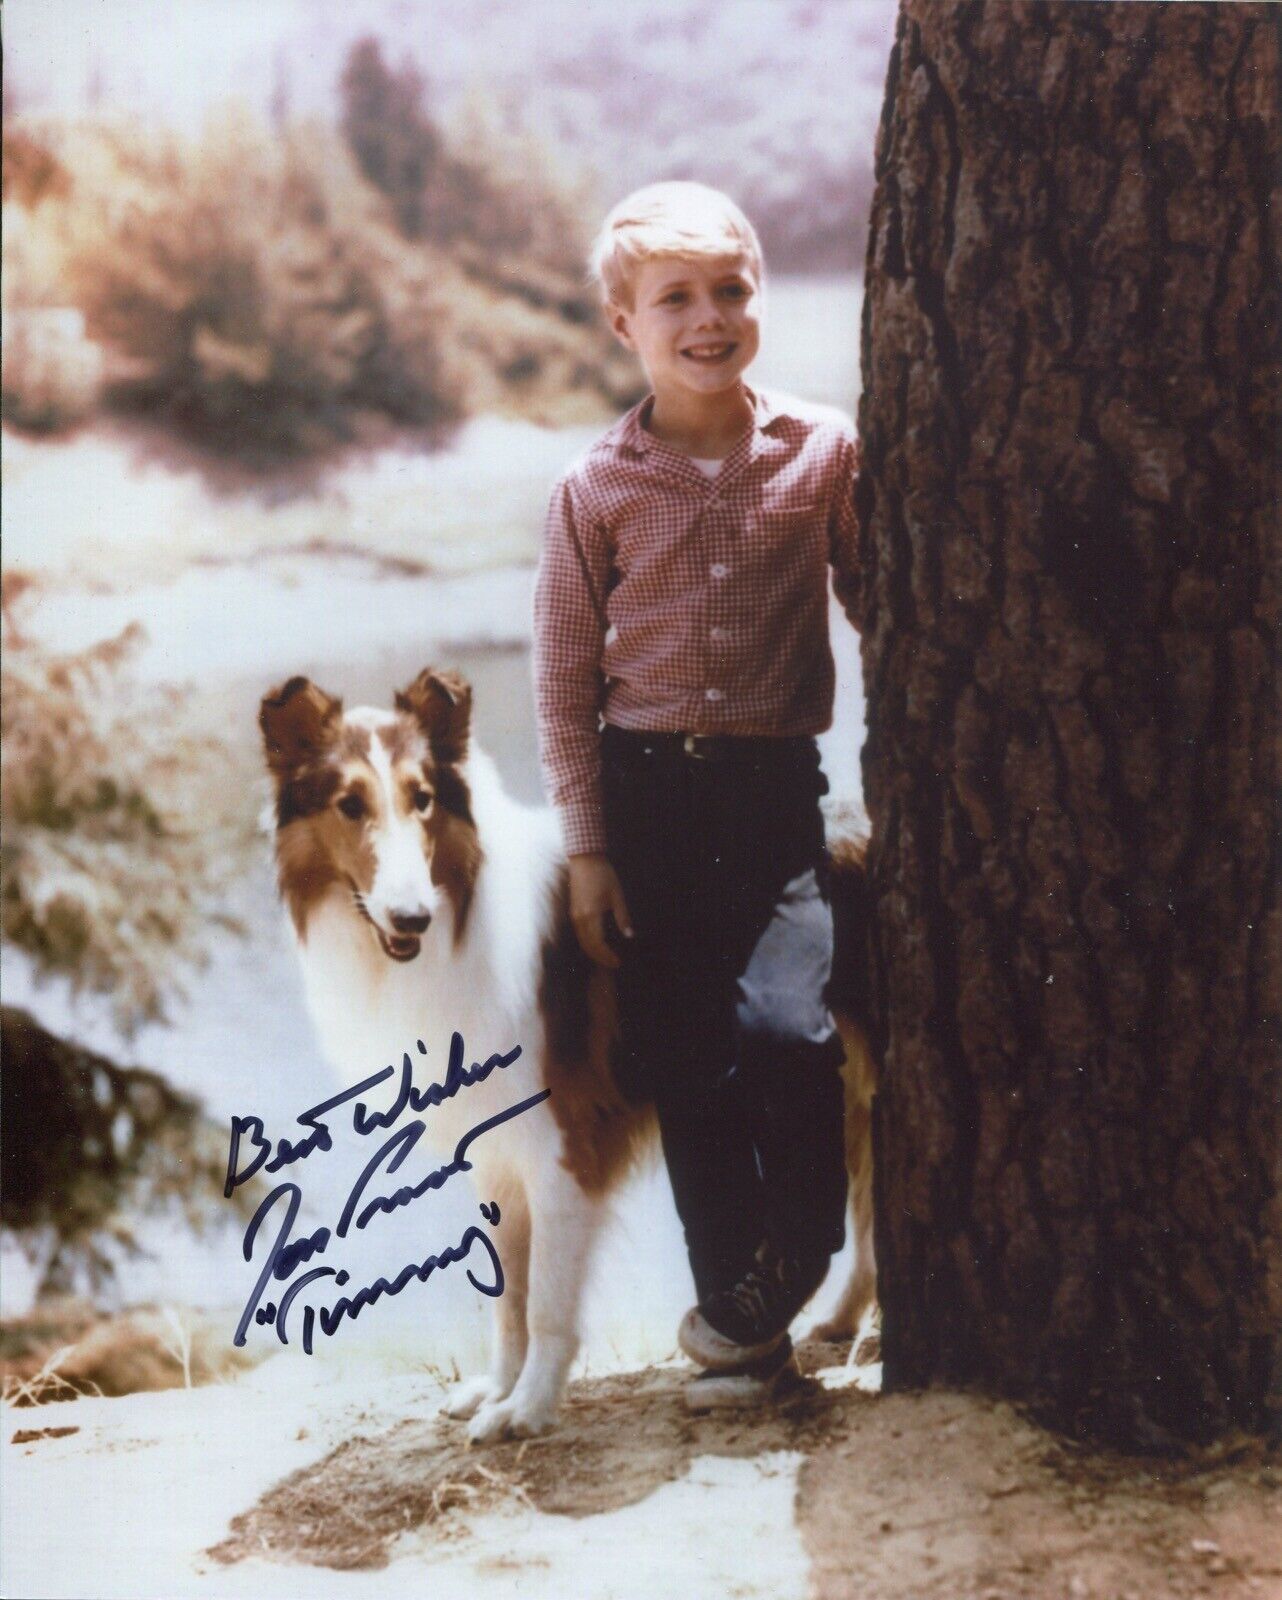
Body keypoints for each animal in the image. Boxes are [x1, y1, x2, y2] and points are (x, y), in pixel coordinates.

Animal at [259, 668, 883, 1446]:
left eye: (422, 798)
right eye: (349, 805)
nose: (411, 918)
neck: (461, 912)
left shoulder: (561, 1149)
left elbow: (545, 1303)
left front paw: (525, 1409)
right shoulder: (493, 1153)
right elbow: (506, 1294)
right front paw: (496, 1388)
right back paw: (838, 1320)